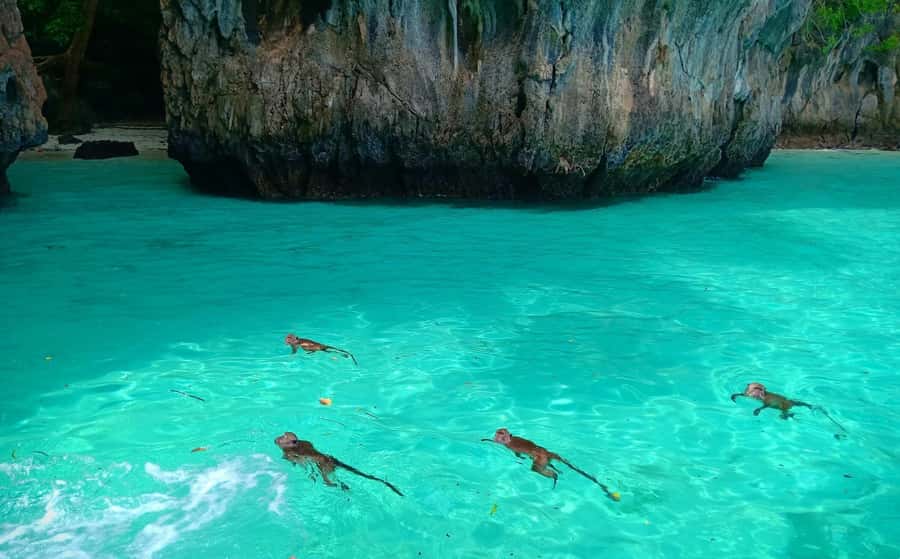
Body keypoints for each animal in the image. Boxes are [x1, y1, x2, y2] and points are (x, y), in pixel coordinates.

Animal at [274, 432, 403, 496]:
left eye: (283, 437)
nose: (276, 439)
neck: (296, 445)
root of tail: (330, 459)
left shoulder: (290, 453)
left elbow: (294, 459)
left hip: (325, 466)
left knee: (326, 476)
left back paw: (331, 484)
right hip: (329, 466)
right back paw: (343, 486)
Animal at [482, 428, 619, 500]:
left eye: (502, 433)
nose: (498, 434)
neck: (509, 439)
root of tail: (544, 451)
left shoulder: (505, 444)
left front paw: (486, 439)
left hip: (540, 458)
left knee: (536, 468)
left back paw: (554, 476)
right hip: (545, 459)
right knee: (546, 465)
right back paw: (557, 471)